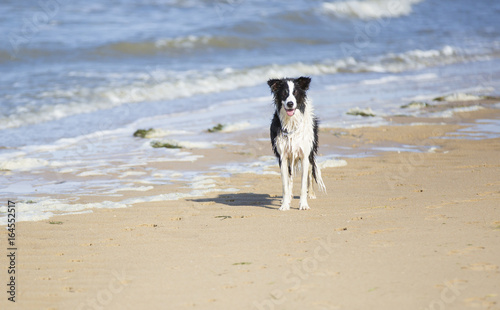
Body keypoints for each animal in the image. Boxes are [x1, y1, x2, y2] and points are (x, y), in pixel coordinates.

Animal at [268, 76, 326, 211]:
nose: (290, 103)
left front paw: (303, 204)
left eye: (295, 93)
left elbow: (304, 183)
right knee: (289, 178)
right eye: (284, 93)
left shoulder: (305, 155)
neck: (291, 121)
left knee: (310, 174)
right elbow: (285, 184)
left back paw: (311, 194)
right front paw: (285, 204)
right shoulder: (283, 156)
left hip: (310, 153)